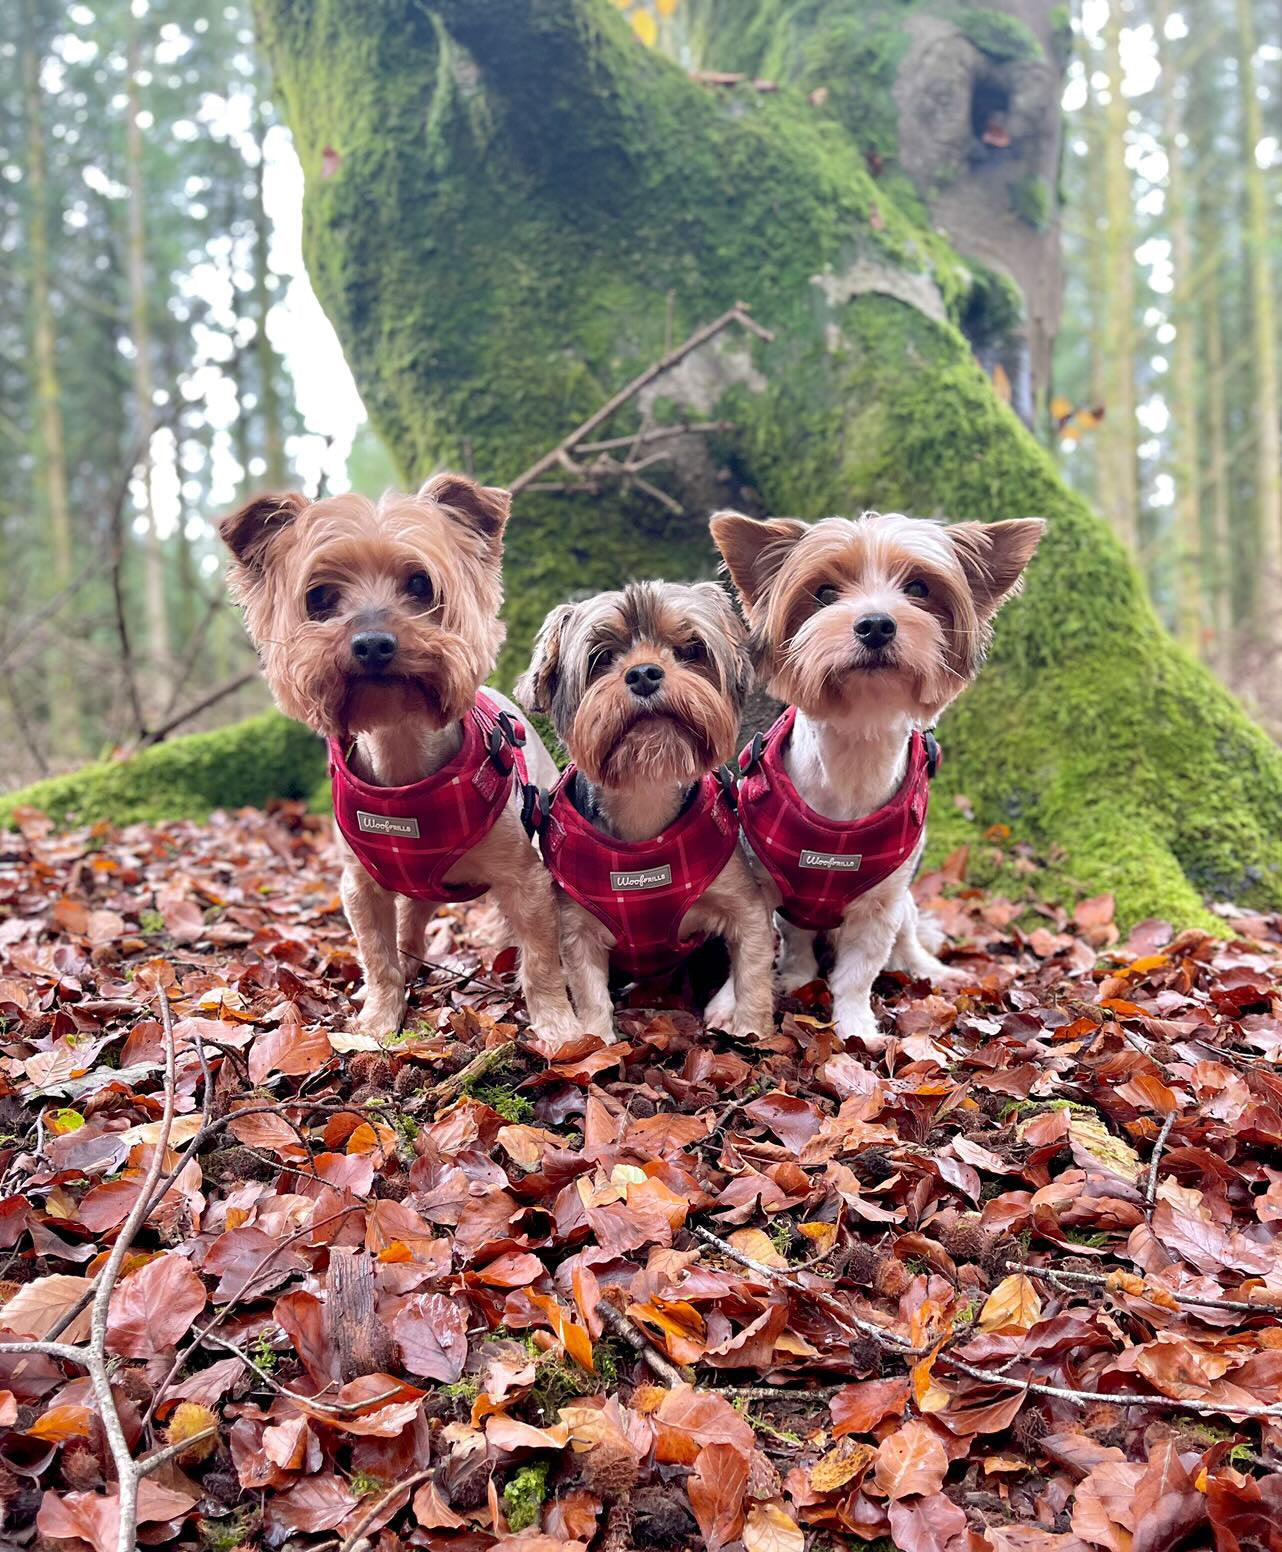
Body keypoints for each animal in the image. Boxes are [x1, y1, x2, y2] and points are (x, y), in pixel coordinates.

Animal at [221, 468, 577, 1030]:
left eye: (420, 584)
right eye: (319, 597)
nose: (372, 642)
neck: (402, 750)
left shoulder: (526, 879)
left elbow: (542, 958)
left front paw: (560, 1026)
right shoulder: (360, 886)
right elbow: (377, 954)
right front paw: (378, 1020)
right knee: (412, 918)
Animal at [512, 583, 769, 1042]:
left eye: (691, 649)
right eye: (600, 658)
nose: (644, 673)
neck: (643, 795)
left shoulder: (744, 901)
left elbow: (753, 970)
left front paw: (753, 1030)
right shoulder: (577, 928)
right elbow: (589, 991)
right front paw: (596, 1043)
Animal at [704, 509, 1042, 1042]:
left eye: (919, 588)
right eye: (824, 592)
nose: (877, 624)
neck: (855, 751)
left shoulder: (881, 903)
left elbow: (858, 970)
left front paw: (855, 1024)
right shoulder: (760, 884)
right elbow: (762, 944)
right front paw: (734, 1001)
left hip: (904, 905)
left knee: (907, 939)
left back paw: (930, 969)